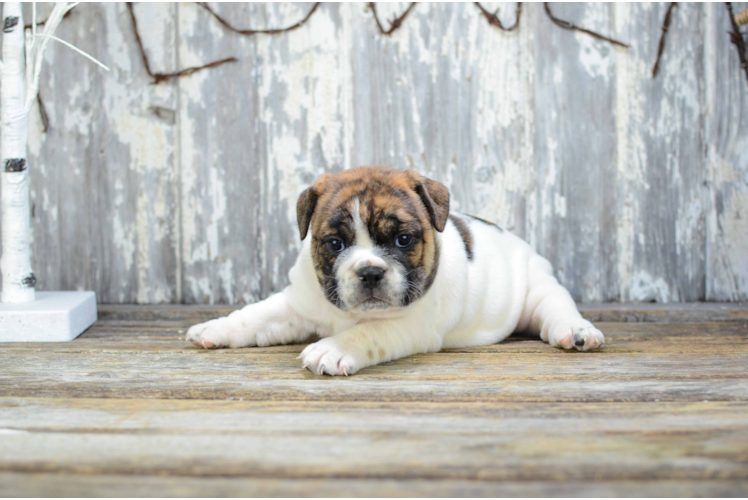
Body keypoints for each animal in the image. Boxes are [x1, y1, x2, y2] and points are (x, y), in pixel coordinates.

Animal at [186, 166, 600, 374]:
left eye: (403, 240)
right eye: (335, 244)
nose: (370, 272)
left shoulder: (411, 324)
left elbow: (366, 332)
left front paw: (332, 349)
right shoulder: (296, 305)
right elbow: (254, 315)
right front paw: (215, 328)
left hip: (540, 286)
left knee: (557, 308)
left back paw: (577, 332)